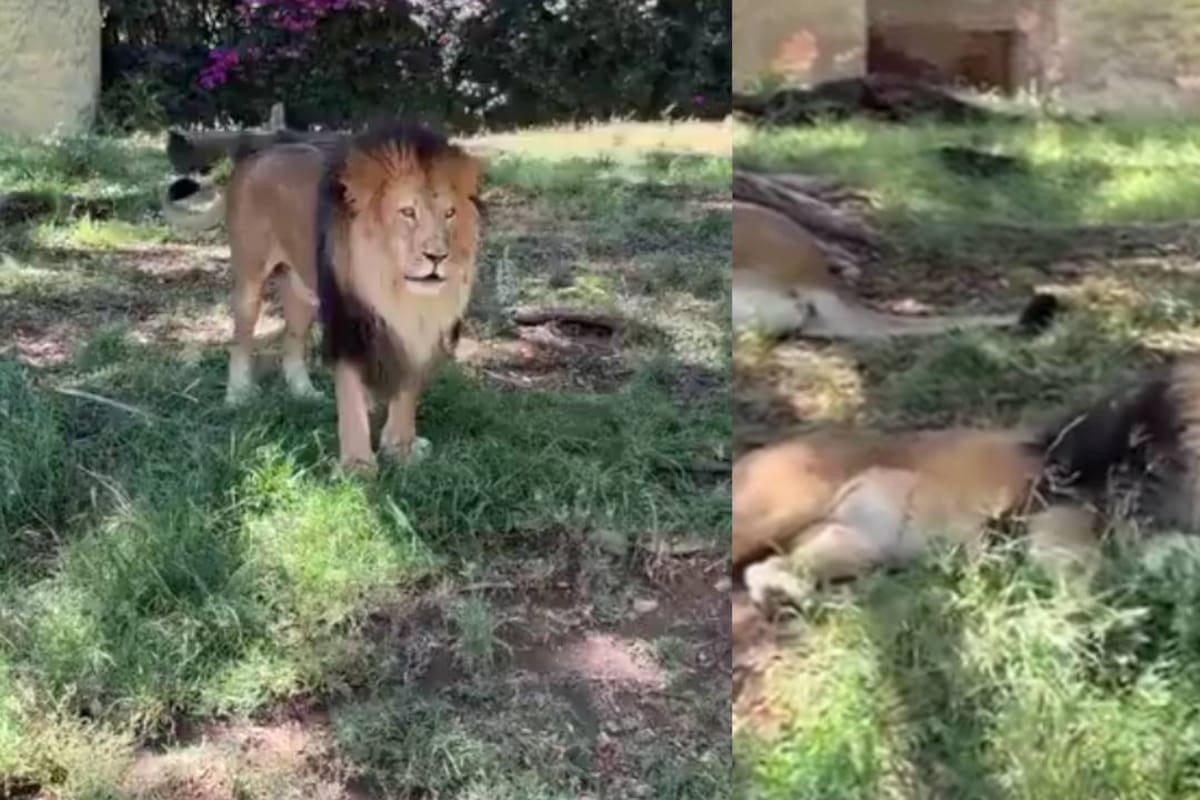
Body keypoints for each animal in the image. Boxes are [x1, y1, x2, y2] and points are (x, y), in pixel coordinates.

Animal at [168, 121, 483, 474]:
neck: (397, 292)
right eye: (407, 212)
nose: (437, 256)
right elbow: (351, 399)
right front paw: (357, 467)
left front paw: (401, 448)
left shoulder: (419, 331)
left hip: (302, 292)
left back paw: (304, 393)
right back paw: (238, 396)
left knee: (291, 343)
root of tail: (254, 157)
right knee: (240, 341)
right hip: (250, 281)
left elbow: (406, 392)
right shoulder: (346, 324)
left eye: (450, 214)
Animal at [734, 356, 1197, 611]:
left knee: (765, 569)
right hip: (783, 508)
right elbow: (1088, 573)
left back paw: (789, 596)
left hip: (851, 544)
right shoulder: (1047, 522)